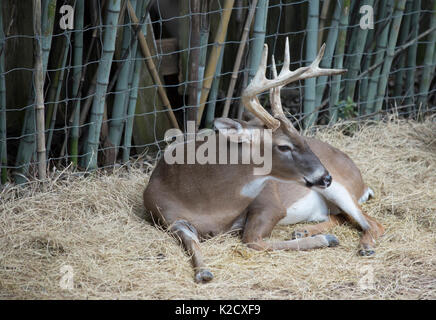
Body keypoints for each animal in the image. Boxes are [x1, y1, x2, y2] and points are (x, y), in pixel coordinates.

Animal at [145, 38, 380, 282]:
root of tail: (363, 183)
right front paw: (203, 271)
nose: (325, 177)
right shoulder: (168, 218)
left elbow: (252, 241)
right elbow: (192, 242)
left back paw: (364, 247)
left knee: (372, 222)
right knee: (342, 217)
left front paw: (327, 240)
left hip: (342, 188)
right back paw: (304, 230)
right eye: (284, 146)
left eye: (300, 135)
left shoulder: (271, 201)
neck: (207, 202)